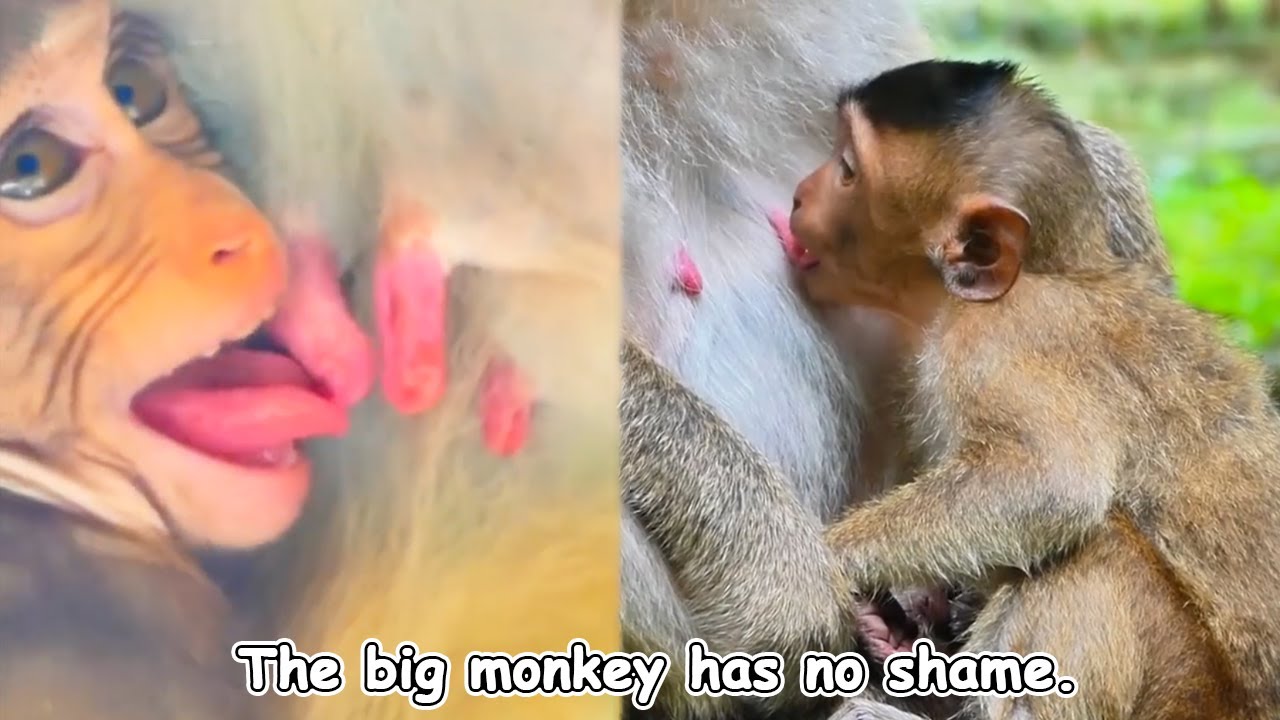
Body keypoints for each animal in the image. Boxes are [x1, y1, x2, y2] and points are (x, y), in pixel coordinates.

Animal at [788, 58, 1280, 719]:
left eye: (845, 169)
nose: (798, 193)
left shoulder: (998, 339)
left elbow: (1050, 482)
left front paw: (822, 562)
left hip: (1189, 695)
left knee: (1098, 546)